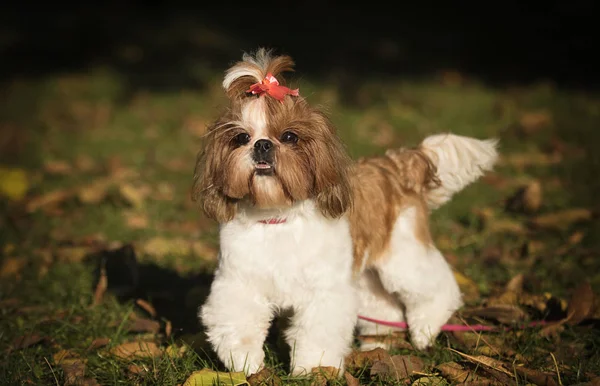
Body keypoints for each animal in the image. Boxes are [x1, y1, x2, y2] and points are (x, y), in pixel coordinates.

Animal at [192, 46, 496, 376]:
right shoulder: (239, 284)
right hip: (365, 276)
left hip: (402, 257)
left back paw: (423, 330)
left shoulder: (324, 293)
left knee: (437, 289)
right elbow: (238, 322)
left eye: (289, 137)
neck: (279, 217)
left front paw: (314, 370)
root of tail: (395, 166)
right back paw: (377, 344)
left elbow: (317, 334)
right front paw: (246, 361)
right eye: (241, 138)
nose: (261, 144)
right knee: (384, 306)